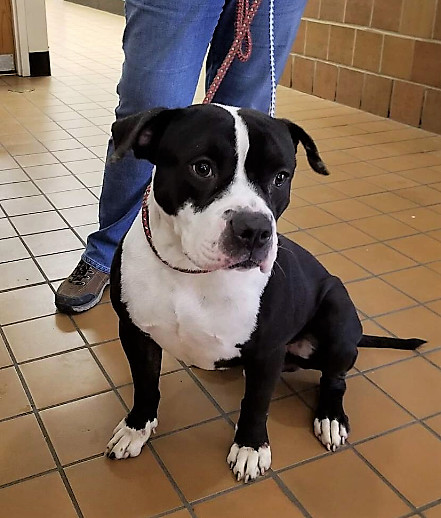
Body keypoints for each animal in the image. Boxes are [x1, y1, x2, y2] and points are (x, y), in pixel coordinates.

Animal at [104, 103, 422, 486]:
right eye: (202, 167)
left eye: (281, 177)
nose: (254, 229)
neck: (191, 271)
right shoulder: (135, 332)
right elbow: (145, 383)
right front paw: (136, 427)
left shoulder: (268, 349)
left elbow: (256, 403)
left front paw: (251, 447)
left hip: (338, 315)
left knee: (335, 379)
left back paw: (331, 417)